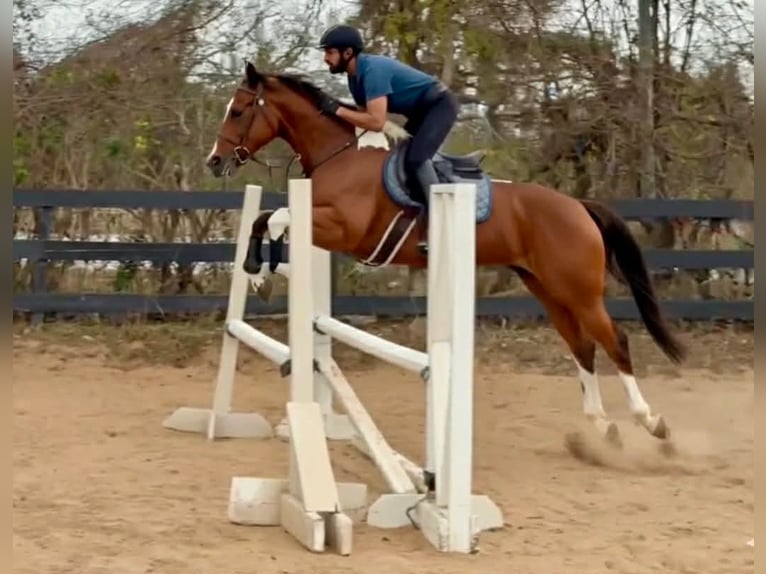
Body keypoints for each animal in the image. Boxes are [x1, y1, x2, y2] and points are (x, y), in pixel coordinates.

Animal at [205, 60, 687, 454]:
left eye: (238, 110)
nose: (214, 161)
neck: (339, 155)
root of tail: (578, 206)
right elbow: (262, 219)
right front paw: (257, 274)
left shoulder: (344, 229)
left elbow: (279, 217)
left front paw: (262, 272)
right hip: (547, 290)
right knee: (582, 345)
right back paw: (603, 427)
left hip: (579, 291)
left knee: (614, 340)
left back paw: (651, 421)